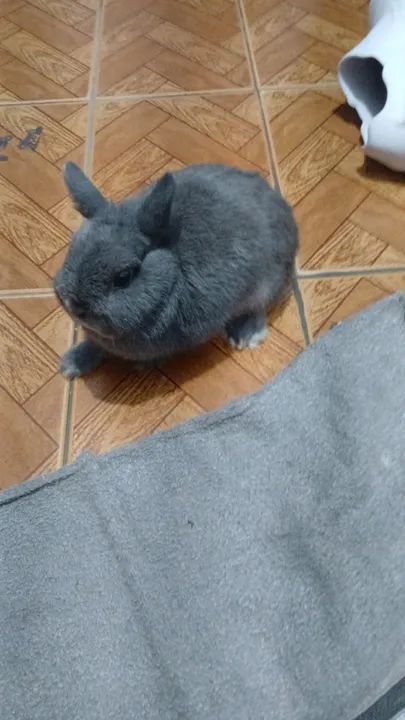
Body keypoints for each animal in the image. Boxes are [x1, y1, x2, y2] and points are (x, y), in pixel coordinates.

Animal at [54, 162, 298, 379]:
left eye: (124, 277)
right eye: (73, 247)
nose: (75, 306)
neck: (172, 273)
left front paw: (145, 365)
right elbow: (96, 346)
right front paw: (71, 364)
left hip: (268, 280)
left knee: (261, 305)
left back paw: (246, 335)